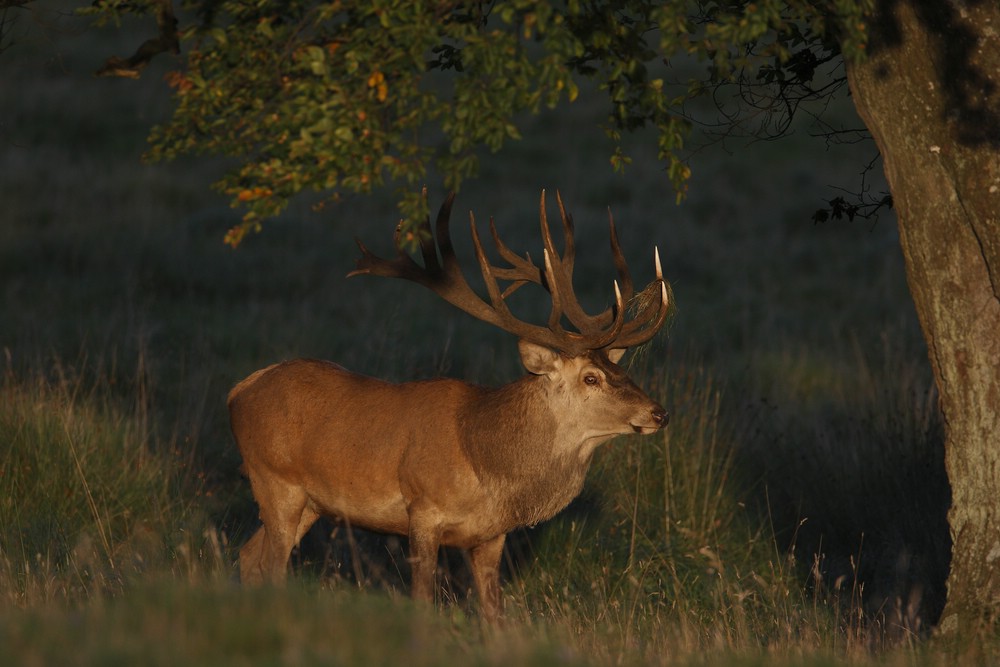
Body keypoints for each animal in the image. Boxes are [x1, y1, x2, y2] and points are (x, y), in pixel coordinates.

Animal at [230, 189, 672, 620]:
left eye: (619, 370)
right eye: (590, 377)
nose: (660, 413)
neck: (483, 457)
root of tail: (239, 390)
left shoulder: (492, 535)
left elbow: (494, 614)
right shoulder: (422, 509)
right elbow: (423, 599)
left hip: (309, 503)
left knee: (249, 556)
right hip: (275, 480)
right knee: (270, 565)